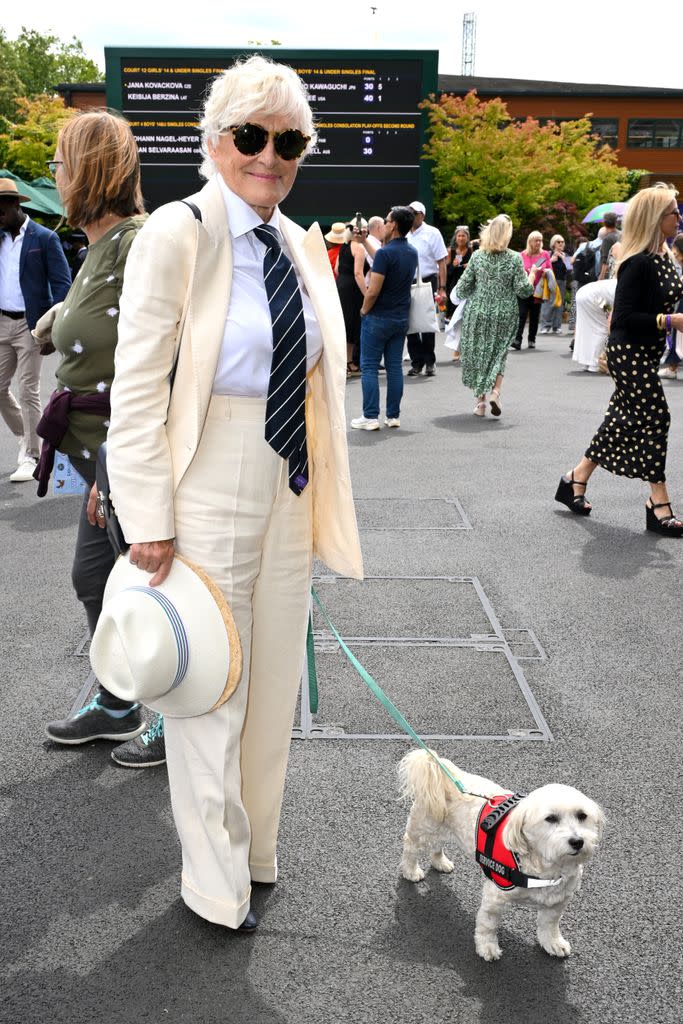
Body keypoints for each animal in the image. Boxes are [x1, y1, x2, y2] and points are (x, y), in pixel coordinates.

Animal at [397, 753, 606, 958]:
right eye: (551, 818)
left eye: (582, 815)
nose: (577, 841)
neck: (545, 867)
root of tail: (443, 772)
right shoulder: (494, 898)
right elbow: (487, 925)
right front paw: (487, 947)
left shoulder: (558, 901)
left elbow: (550, 925)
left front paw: (553, 943)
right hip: (424, 828)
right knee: (410, 847)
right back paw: (411, 870)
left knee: (437, 846)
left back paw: (440, 862)